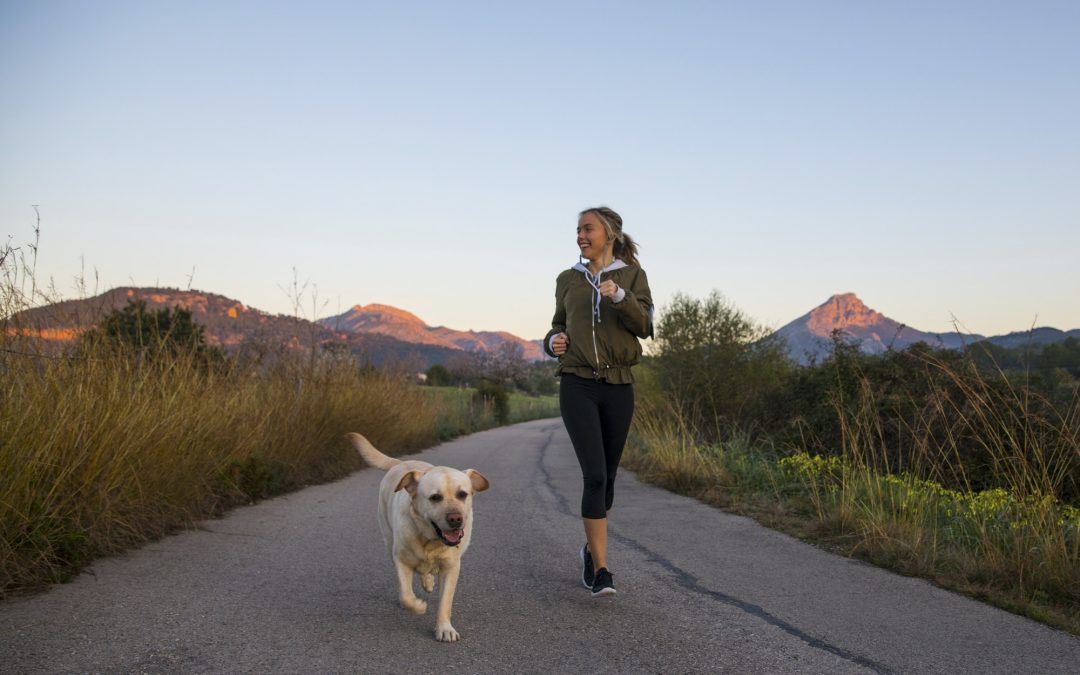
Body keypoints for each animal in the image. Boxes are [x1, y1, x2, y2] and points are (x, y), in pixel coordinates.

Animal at [347, 432, 492, 643]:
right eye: (435, 497)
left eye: (462, 494)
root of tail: (402, 463)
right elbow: (406, 595)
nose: (456, 519)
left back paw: (429, 582)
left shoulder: (451, 567)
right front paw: (418, 606)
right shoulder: (401, 560)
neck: (429, 540)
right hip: (387, 538)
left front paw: (445, 628)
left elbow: (445, 601)